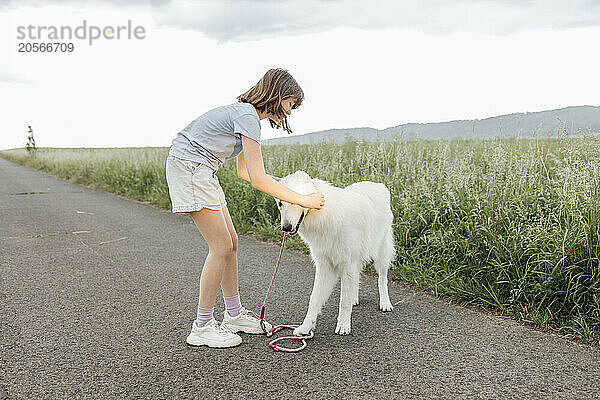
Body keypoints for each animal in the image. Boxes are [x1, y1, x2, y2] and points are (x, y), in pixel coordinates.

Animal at [274, 170, 396, 334]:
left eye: (297, 200)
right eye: (280, 203)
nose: (285, 228)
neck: (324, 213)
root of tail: (377, 184)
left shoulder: (347, 263)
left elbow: (343, 301)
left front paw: (343, 326)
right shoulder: (325, 266)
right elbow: (314, 299)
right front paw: (305, 327)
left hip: (381, 253)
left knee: (382, 278)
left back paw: (385, 303)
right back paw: (354, 299)